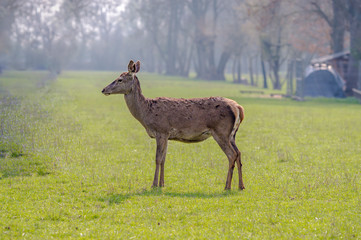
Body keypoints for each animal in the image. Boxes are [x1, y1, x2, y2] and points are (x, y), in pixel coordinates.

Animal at [101, 61, 245, 190]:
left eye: (119, 79)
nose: (103, 89)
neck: (146, 113)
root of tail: (238, 107)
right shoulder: (167, 135)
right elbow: (164, 159)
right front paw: (162, 184)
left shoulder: (161, 130)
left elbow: (158, 158)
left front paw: (154, 184)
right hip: (232, 134)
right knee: (238, 153)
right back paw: (241, 186)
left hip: (221, 132)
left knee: (232, 155)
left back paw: (227, 186)